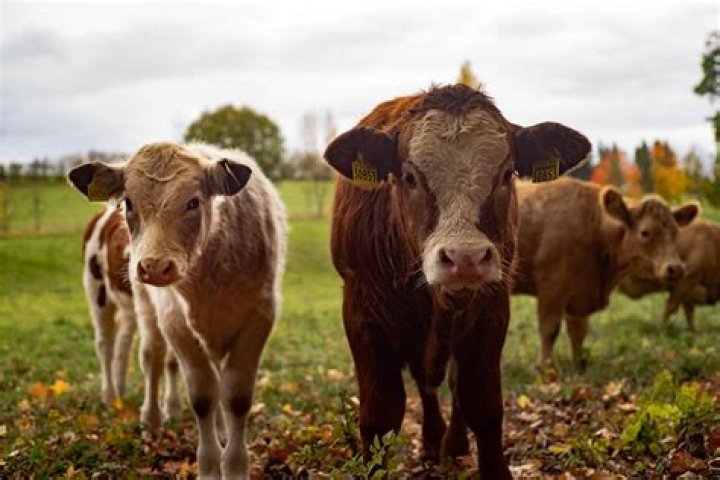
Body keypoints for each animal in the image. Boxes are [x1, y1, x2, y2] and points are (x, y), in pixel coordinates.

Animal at [81, 204, 181, 427]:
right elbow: (152, 354)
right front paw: (151, 421)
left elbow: (173, 360)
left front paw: (173, 410)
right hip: (97, 288)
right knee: (105, 344)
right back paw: (109, 396)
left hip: (129, 306)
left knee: (123, 341)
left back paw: (120, 391)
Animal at [323, 83, 590, 477]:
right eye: (409, 177)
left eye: (506, 174)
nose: (465, 258)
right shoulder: (362, 315)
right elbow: (380, 415)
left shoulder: (491, 311)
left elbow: (482, 403)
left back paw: (453, 446)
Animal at [512, 178, 699, 371]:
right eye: (645, 232)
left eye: (675, 232)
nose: (676, 268)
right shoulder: (552, 288)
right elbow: (550, 330)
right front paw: (546, 369)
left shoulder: (580, 294)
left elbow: (579, 332)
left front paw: (579, 365)